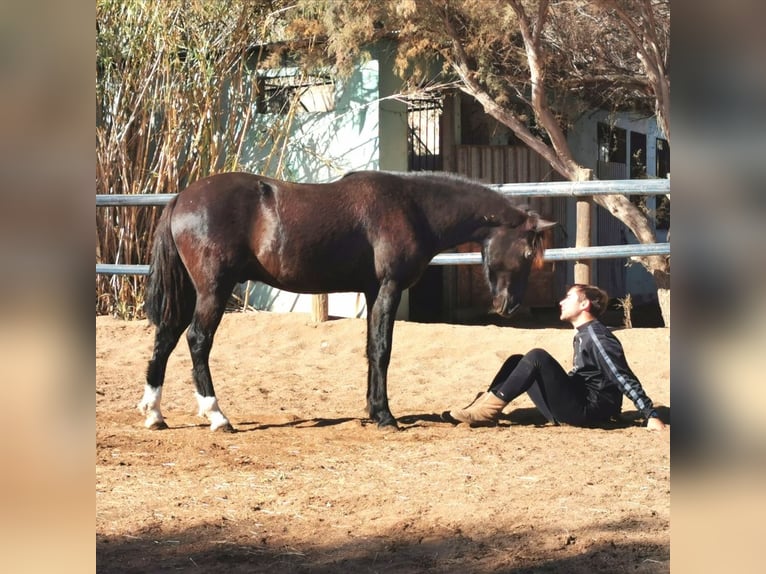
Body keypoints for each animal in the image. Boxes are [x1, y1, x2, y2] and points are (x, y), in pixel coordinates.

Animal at [140, 171, 552, 432]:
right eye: (527, 253)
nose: (510, 306)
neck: (412, 206)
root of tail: (181, 198)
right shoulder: (389, 287)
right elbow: (383, 349)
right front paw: (385, 416)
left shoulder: (372, 291)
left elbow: (371, 348)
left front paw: (372, 409)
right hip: (213, 290)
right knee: (197, 341)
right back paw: (216, 416)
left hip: (189, 291)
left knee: (166, 338)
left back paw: (155, 413)